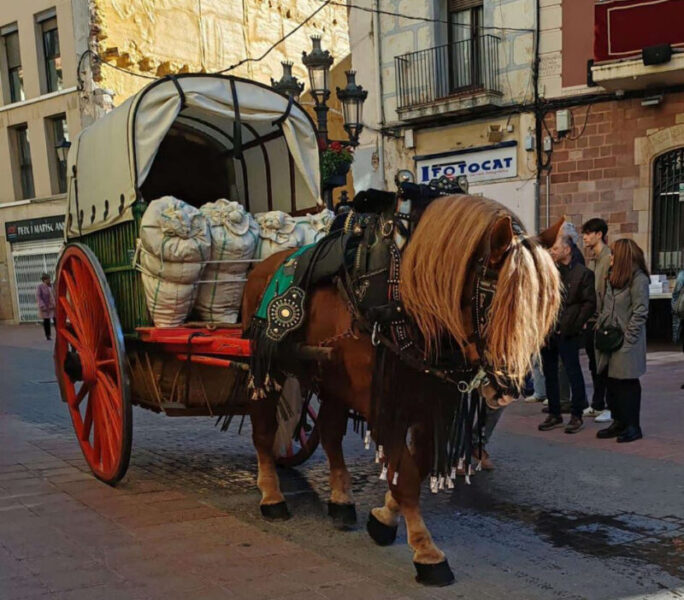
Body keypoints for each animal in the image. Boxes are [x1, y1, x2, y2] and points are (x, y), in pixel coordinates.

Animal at [243, 196, 564, 584]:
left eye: (544, 308)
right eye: (495, 303)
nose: (512, 385)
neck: (403, 307)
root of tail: (264, 266)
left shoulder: (431, 406)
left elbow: (418, 466)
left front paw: (383, 518)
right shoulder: (386, 406)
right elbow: (407, 475)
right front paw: (426, 552)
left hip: (333, 380)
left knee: (331, 434)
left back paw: (340, 500)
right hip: (268, 368)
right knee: (264, 431)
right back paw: (271, 495)